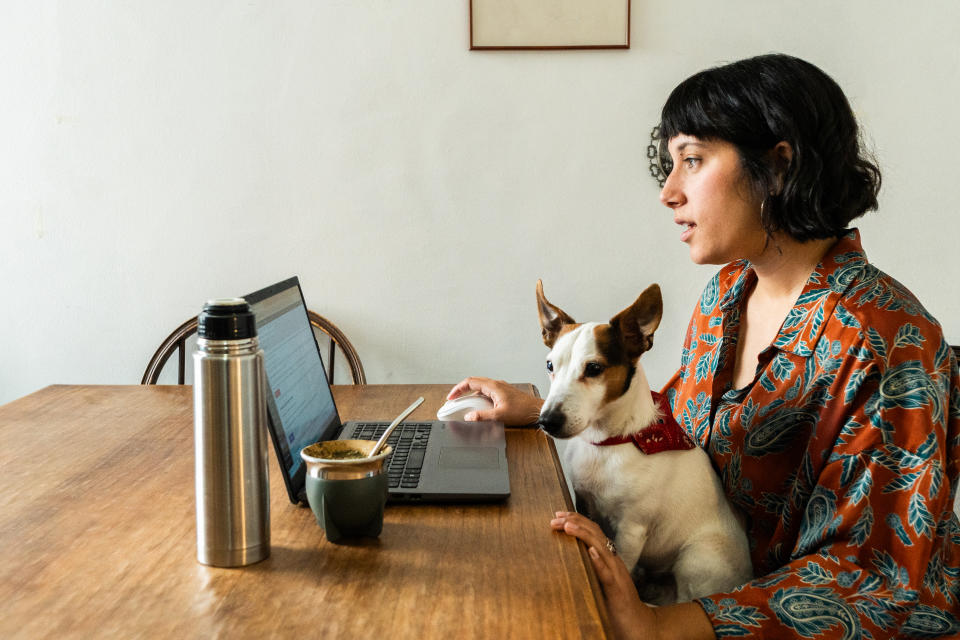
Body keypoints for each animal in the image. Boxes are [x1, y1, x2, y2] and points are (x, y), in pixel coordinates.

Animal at [532, 280, 752, 604]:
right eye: (550, 365)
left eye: (594, 369)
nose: (547, 421)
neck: (609, 443)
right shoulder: (584, 500)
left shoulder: (632, 530)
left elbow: (621, 562)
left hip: (697, 557)